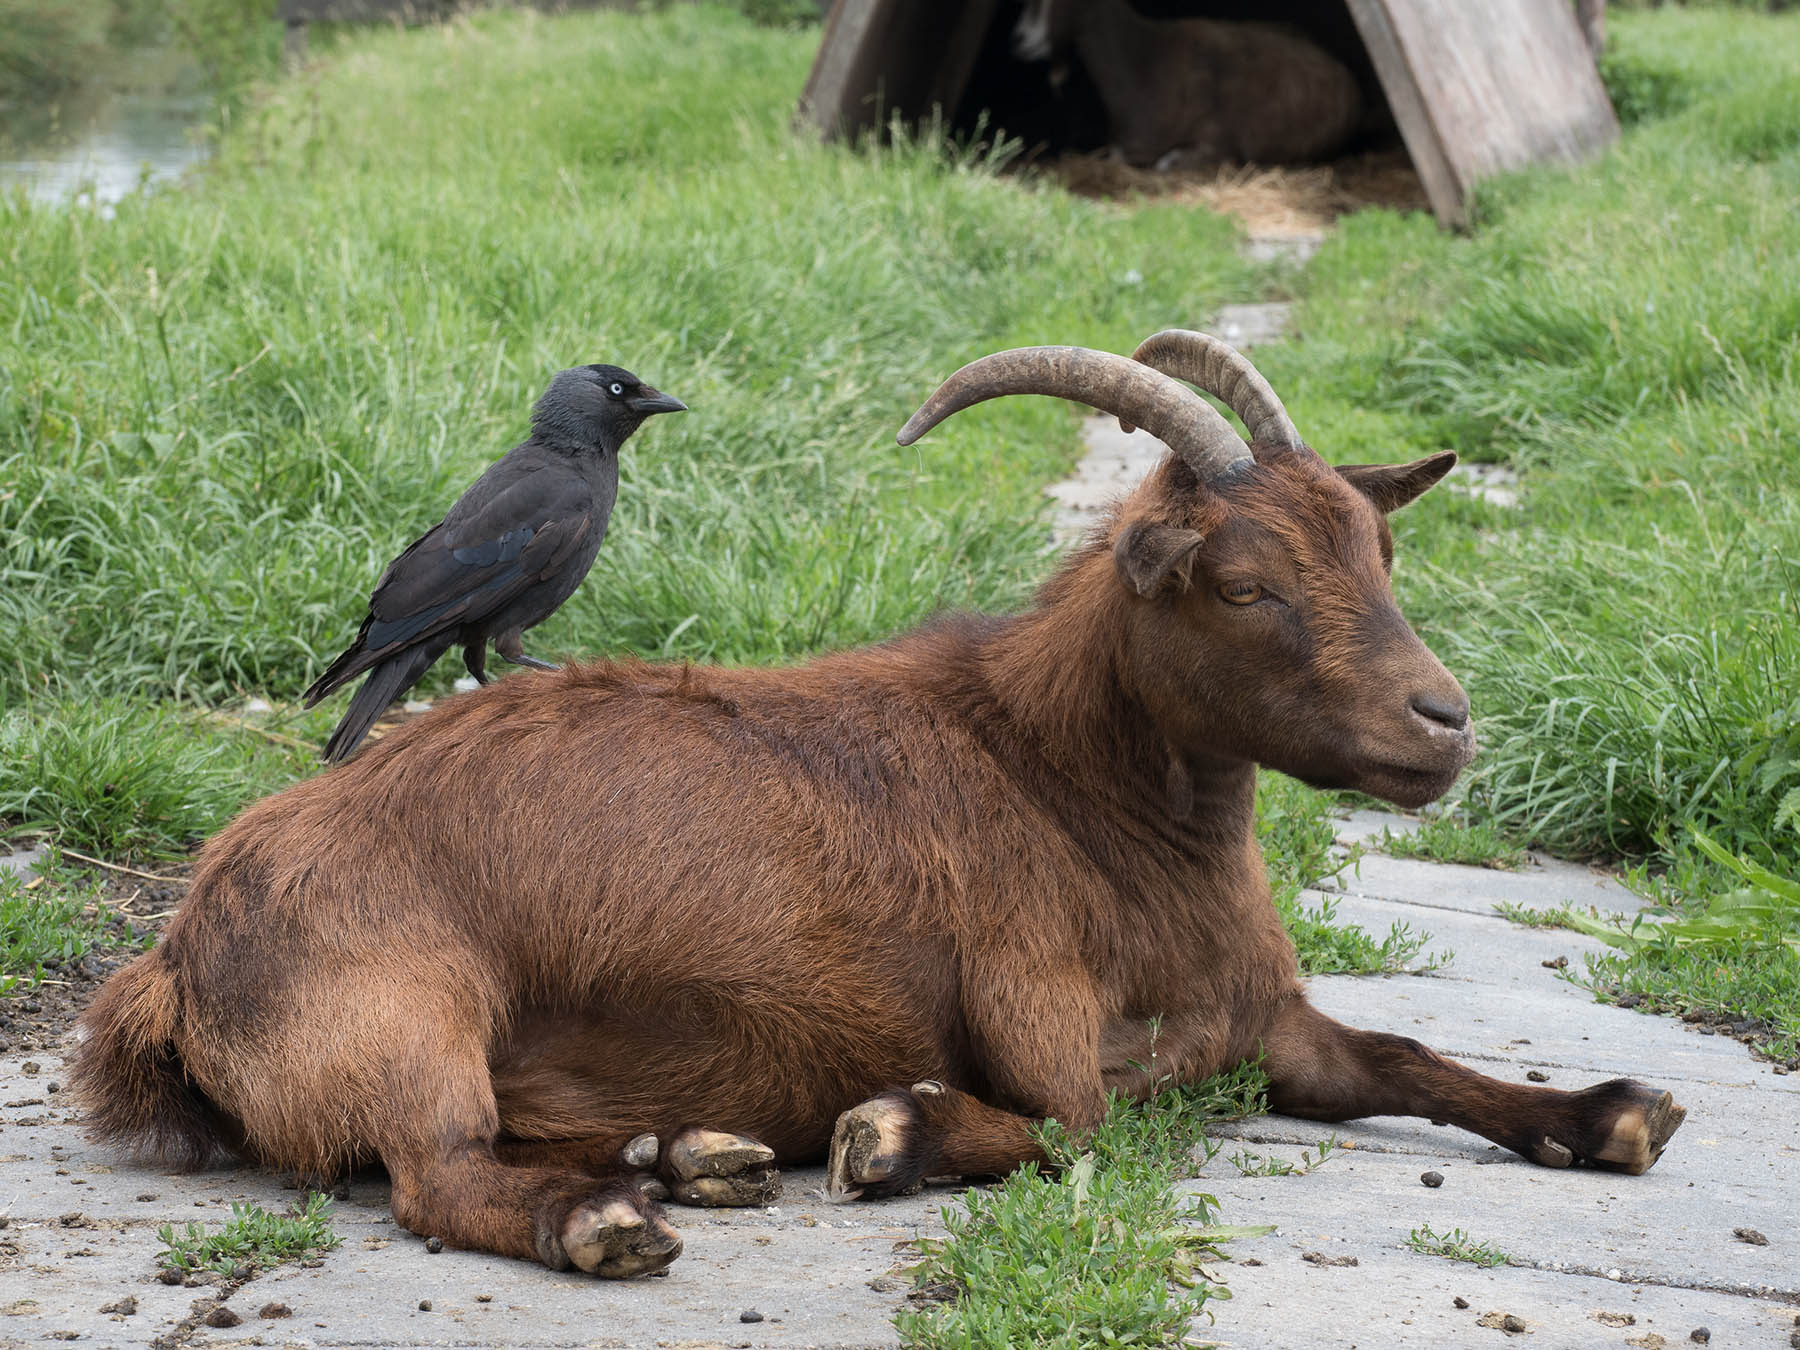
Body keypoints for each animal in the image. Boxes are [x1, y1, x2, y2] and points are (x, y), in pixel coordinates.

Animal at [77, 336, 1684, 1281]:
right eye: (1240, 582)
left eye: (1377, 547)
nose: (1443, 722)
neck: (1072, 786)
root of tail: (175, 952)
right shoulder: (1035, 1008)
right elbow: (1091, 1118)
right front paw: (892, 1134)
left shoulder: (1273, 1015)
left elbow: (1402, 1054)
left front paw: (1612, 1112)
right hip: (400, 1012)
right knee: (433, 1173)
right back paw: (610, 1214)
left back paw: (688, 1155)